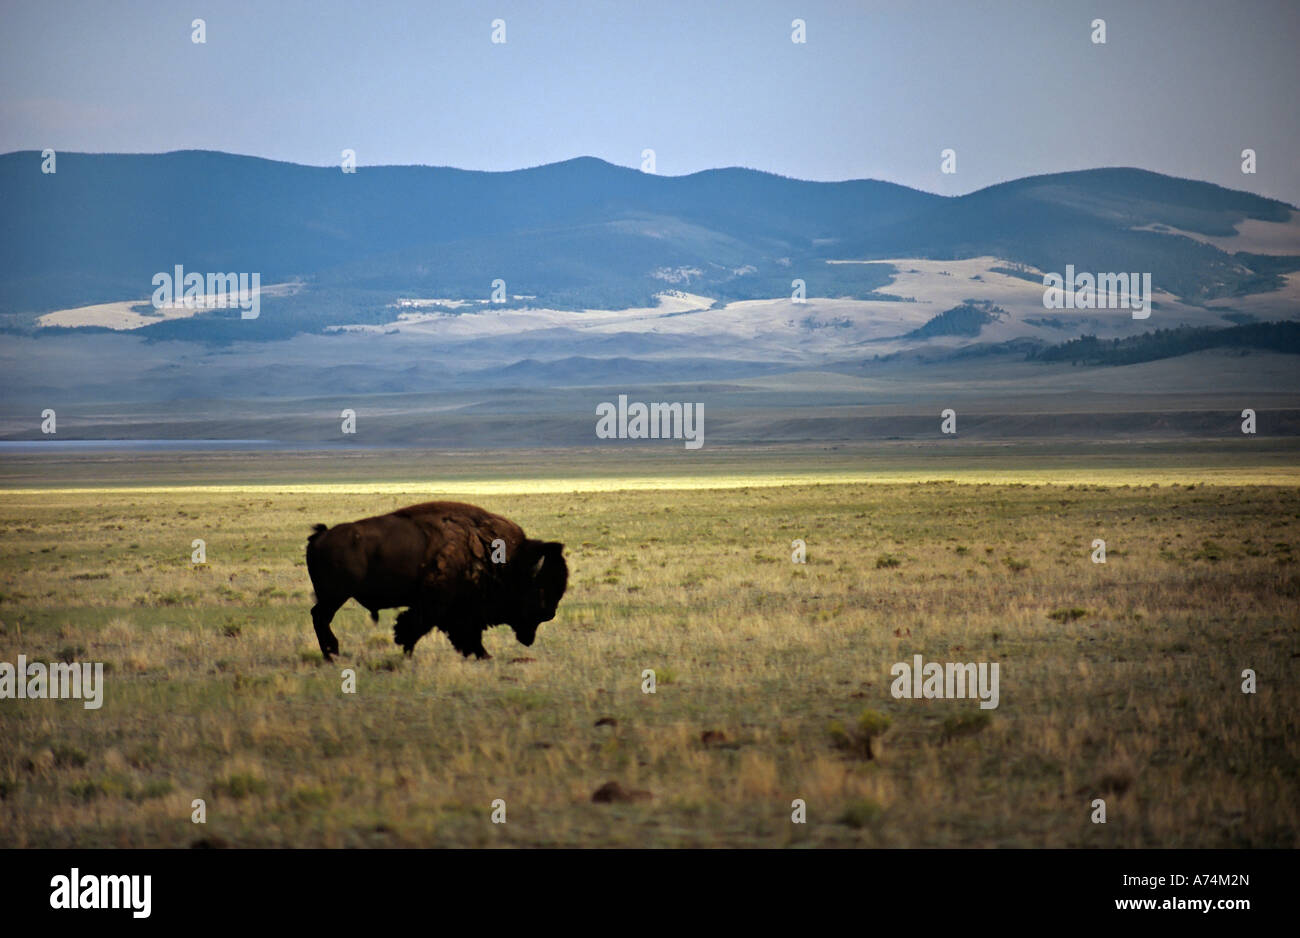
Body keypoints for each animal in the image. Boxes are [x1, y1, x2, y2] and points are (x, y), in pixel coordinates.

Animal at [305, 501, 568, 661]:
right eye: (540, 588)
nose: (550, 613)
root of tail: (320, 536)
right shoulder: (439, 605)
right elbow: (418, 626)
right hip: (335, 596)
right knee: (320, 617)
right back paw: (332, 654)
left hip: (332, 597)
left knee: (319, 617)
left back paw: (331, 654)